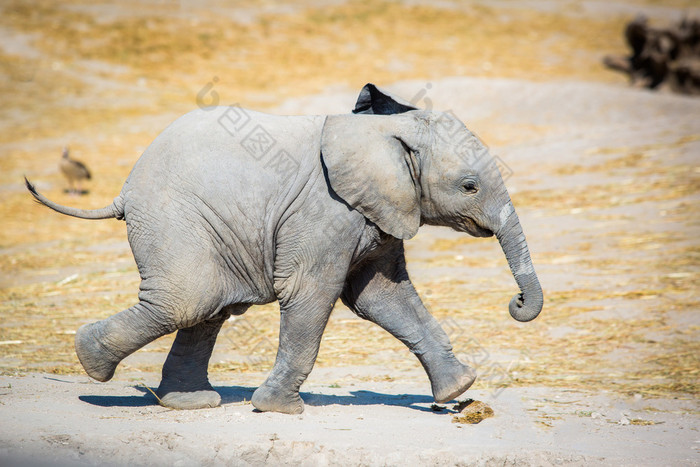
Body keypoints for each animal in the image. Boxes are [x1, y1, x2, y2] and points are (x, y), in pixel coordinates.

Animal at [26, 84, 540, 414]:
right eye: (470, 186)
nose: (516, 302)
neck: (385, 131)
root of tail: (124, 190)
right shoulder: (325, 211)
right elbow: (313, 295)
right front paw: (278, 409)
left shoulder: (380, 210)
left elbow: (384, 298)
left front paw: (458, 390)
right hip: (175, 219)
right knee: (187, 301)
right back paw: (91, 364)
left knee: (207, 309)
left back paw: (187, 402)